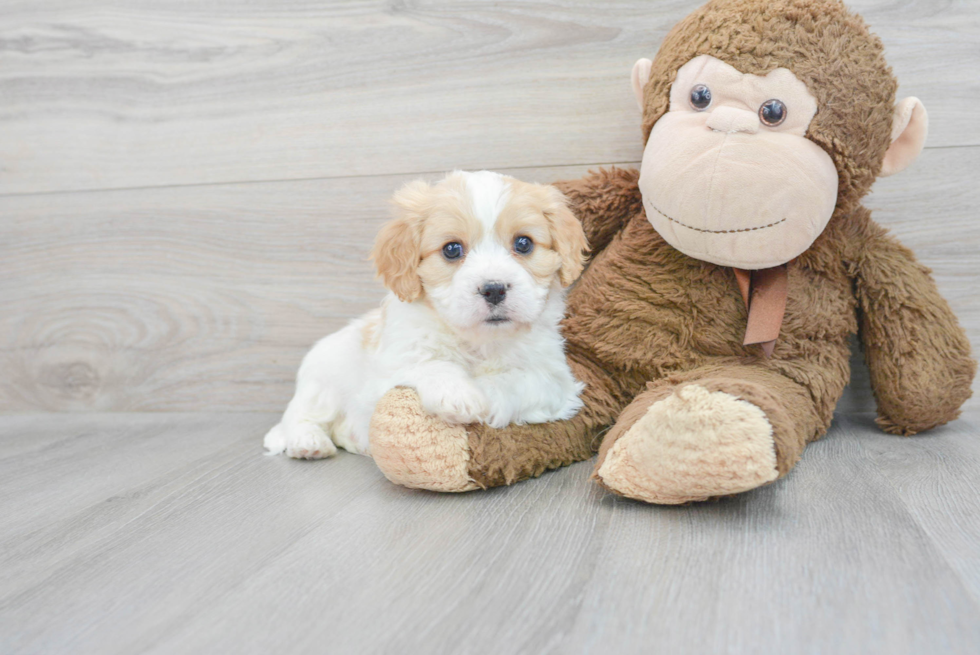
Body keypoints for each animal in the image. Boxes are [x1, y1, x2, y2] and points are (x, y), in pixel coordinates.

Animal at [262, 172, 588, 464]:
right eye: (452, 249)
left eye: (523, 244)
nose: (494, 289)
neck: (478, 341)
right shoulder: (391, 366)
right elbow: (428, 364)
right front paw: (458, 394)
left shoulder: (554, 380)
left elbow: (517, 380)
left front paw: (484, 394)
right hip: (322, 381)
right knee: (299, 416)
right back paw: (308, 442)